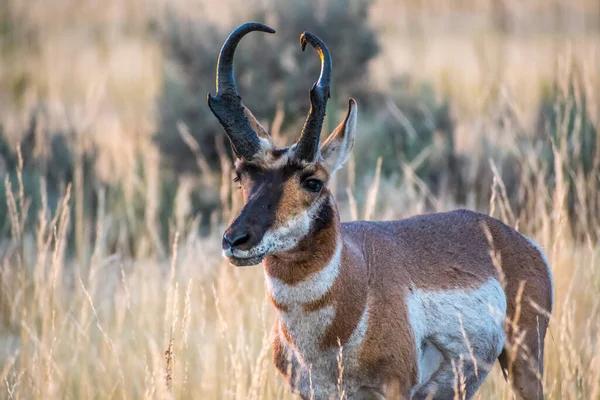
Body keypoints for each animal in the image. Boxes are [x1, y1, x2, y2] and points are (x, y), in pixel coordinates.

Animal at [207, 22, 552, 400]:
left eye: (313, 181)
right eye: (240, 176)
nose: (235, 240)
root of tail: (519, 241)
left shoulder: (395, 388)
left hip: (524, 364)